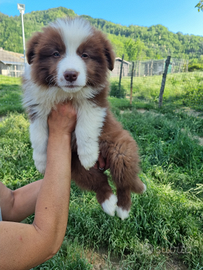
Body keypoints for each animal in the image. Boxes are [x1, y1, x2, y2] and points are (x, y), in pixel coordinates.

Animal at [22, 16, 146, 219]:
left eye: (85, 55)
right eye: (56, 53)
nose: (70, 74)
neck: (64, 94)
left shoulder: (94, 103)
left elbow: (84, 127)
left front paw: (88, 155)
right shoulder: (37, 108)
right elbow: (38, 136)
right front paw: (40, 162)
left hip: (122, 152)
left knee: (123, 183)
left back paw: (123, 208)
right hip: (75, 168)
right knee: (100, 182)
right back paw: (108, 203)